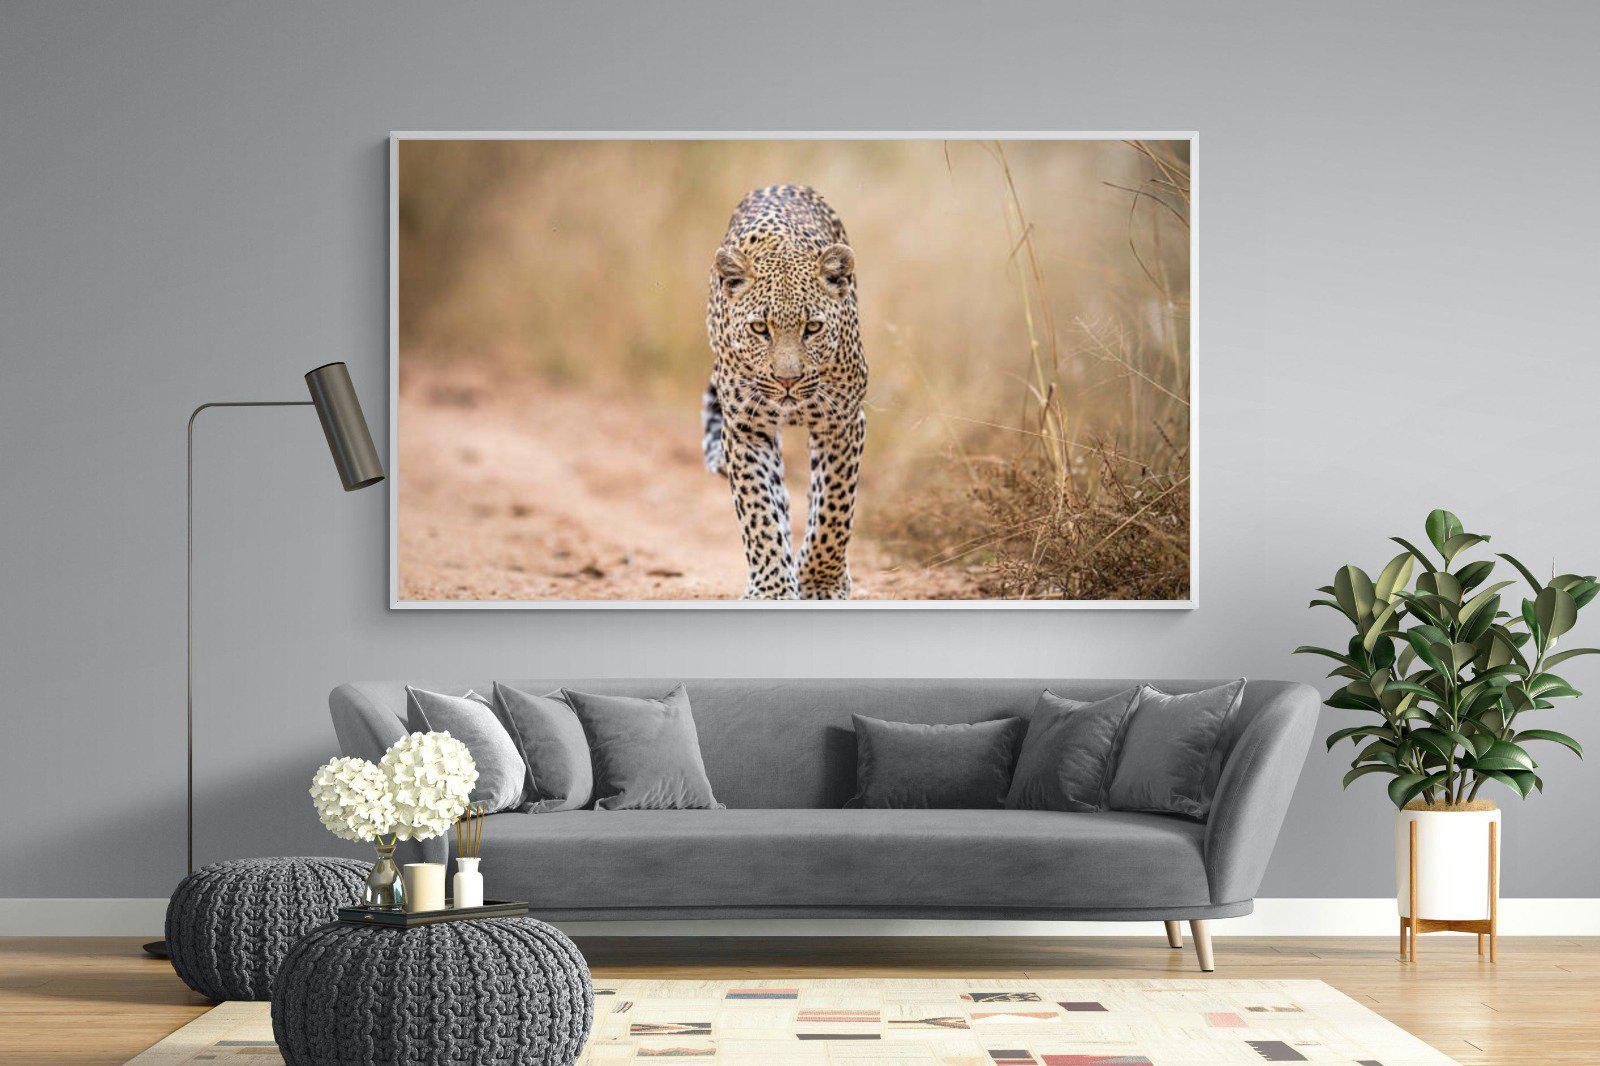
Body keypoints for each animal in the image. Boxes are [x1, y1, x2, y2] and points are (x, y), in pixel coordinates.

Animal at [701, 184, 867, 600]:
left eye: (813, 328)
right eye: (760, 328)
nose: (787, 380)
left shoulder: (842, 422)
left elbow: (834, 507)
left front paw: (820, 582)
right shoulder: (745, 428)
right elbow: (759, 509)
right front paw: (773, 589)